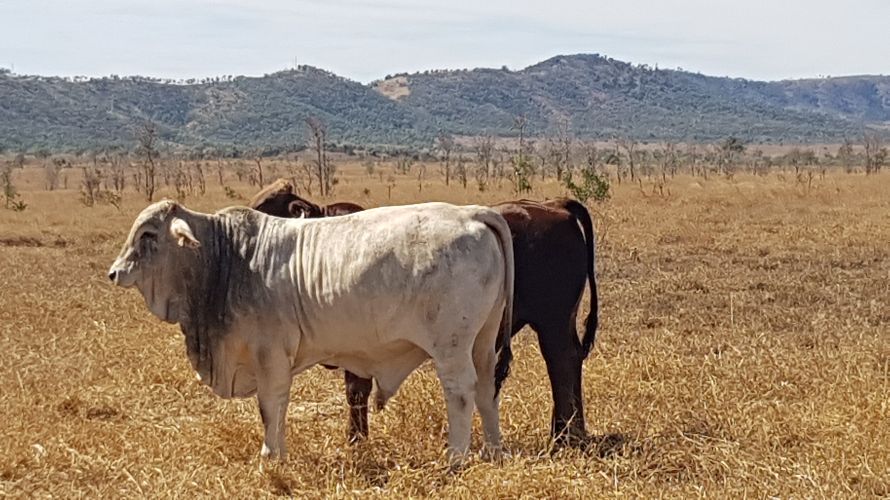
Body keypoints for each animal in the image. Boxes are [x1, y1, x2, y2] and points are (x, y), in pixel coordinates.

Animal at [246, 181, 600, 446]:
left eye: (267, 212)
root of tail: (555, 204)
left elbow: (356, 391)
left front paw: (356, 441)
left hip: (552, 322)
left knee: (561, 363)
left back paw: (565, 436)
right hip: (559, 322)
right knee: (570, 363)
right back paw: (570, 431)